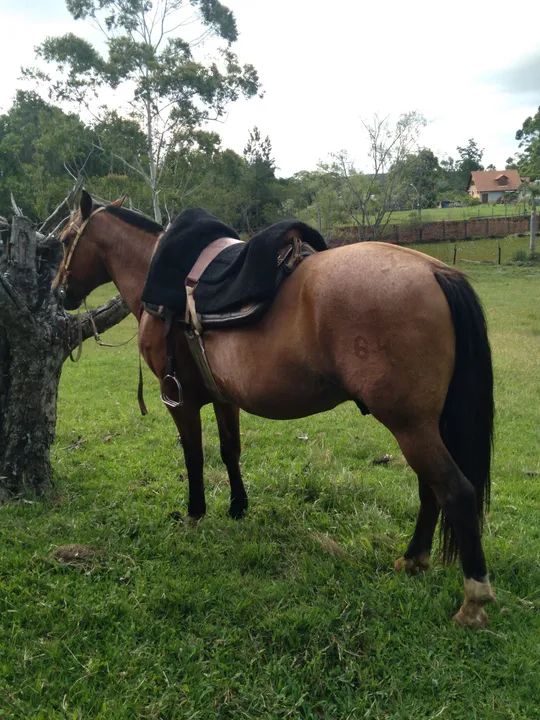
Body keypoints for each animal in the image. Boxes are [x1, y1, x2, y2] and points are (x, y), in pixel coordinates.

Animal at [54, 190, 496, 627]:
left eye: (64, 240)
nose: (60, 294)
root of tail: (435, 271)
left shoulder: (177, 397)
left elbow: (194, 455)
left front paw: (195, 513)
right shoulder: (224, 397)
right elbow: (229, 450)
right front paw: (238, 507)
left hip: (409, 426)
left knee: (455, 491)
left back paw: (473, 600)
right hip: (422, 426)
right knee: (430, 489)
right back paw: (413, 560)